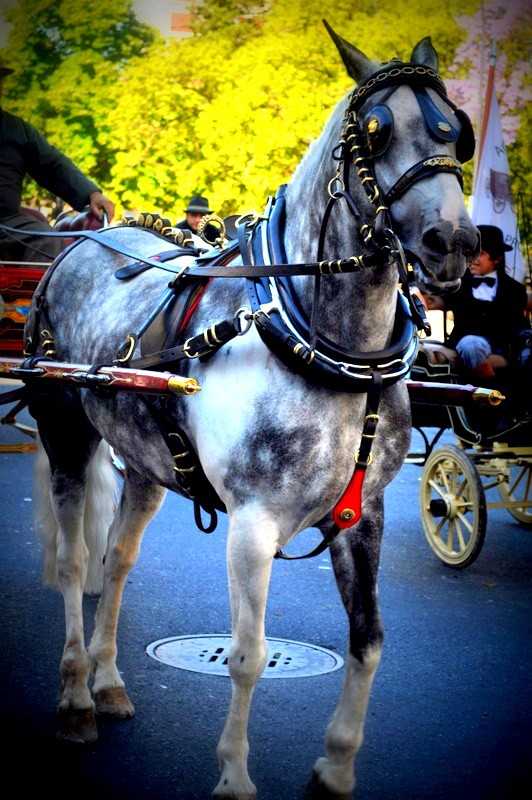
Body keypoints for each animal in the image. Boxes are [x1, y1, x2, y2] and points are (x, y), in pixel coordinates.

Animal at [22, 20, 478, 800]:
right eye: (377, 130)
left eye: (457, 129)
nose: (452, 242)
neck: (326, 344)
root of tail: (82, 240)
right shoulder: (253, 523)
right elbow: (248, 653)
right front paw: (234, 776)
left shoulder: (364, 514)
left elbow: (368, 640)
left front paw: (335, 768)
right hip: (66, 434)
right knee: (78, 560)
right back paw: (77, 696)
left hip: (146, 460)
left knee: (117, 560)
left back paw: (109, 684)